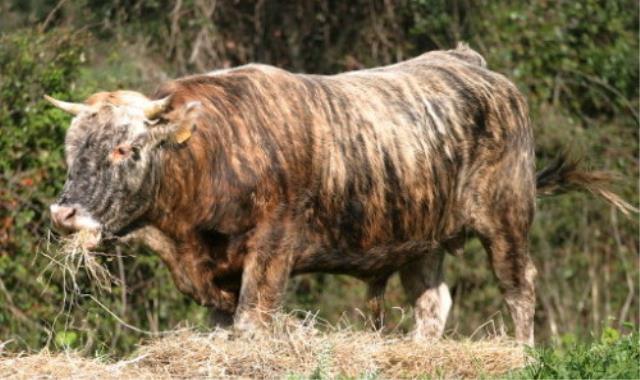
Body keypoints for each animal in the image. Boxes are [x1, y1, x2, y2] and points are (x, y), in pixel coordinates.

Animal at [46, 43, 636, 344]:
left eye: (124, 148)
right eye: (71, 149)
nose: (65, 212)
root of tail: (464, 60)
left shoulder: (272, 247)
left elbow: (253, 319)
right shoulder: (215, 272)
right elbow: (223, 326)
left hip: (506, 219)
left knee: (519, 289)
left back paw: (522, 354)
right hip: (420, 236)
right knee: (432, 301)